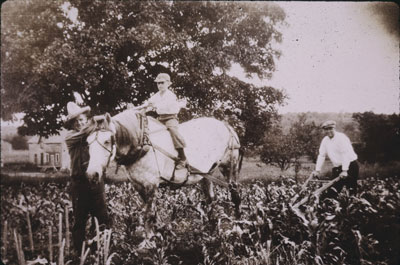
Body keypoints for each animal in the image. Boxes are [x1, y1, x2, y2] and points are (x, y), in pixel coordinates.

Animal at [85, 108, 241, 234]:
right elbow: (153, 215)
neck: (142, 142)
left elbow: (149, 216)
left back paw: (238, 228)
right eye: (88, 142)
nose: (92, 174)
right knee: (210, 200)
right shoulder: (138, 185)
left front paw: (149, 243)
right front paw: (159, 233)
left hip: (229, 167)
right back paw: (212, 231)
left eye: (107, 140)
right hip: (207, 174)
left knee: (235, 196)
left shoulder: (151, 184)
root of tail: (226, 126)